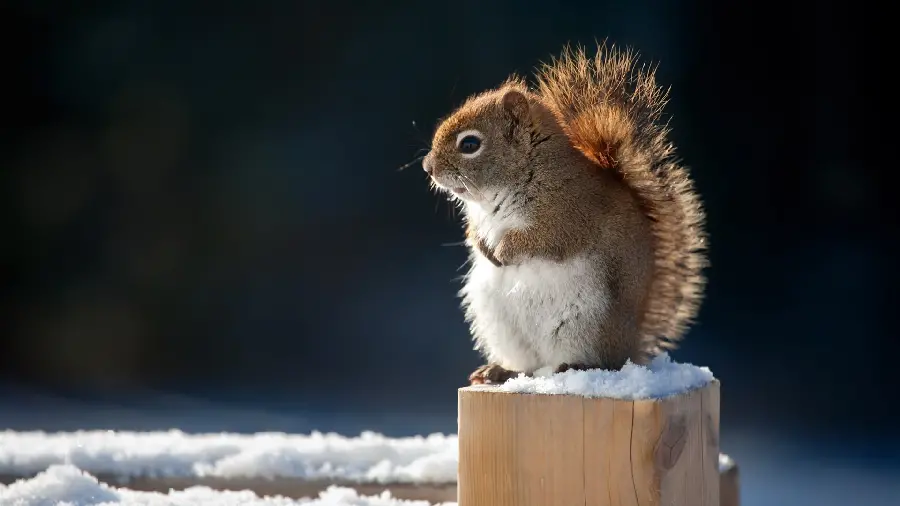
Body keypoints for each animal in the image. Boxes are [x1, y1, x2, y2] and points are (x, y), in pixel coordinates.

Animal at [422, 43, 712, 386]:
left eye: (469, 144)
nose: (428, 167)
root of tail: (630, 349)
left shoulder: (570, 215)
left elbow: (543, 241)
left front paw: (504, 251)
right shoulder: (479, 219)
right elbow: (473, 234)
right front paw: (483, 247)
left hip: (586, 324)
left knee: (598, 362)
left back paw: (574, 367)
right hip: (501, 325)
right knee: (527, 365)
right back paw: (499, 370)